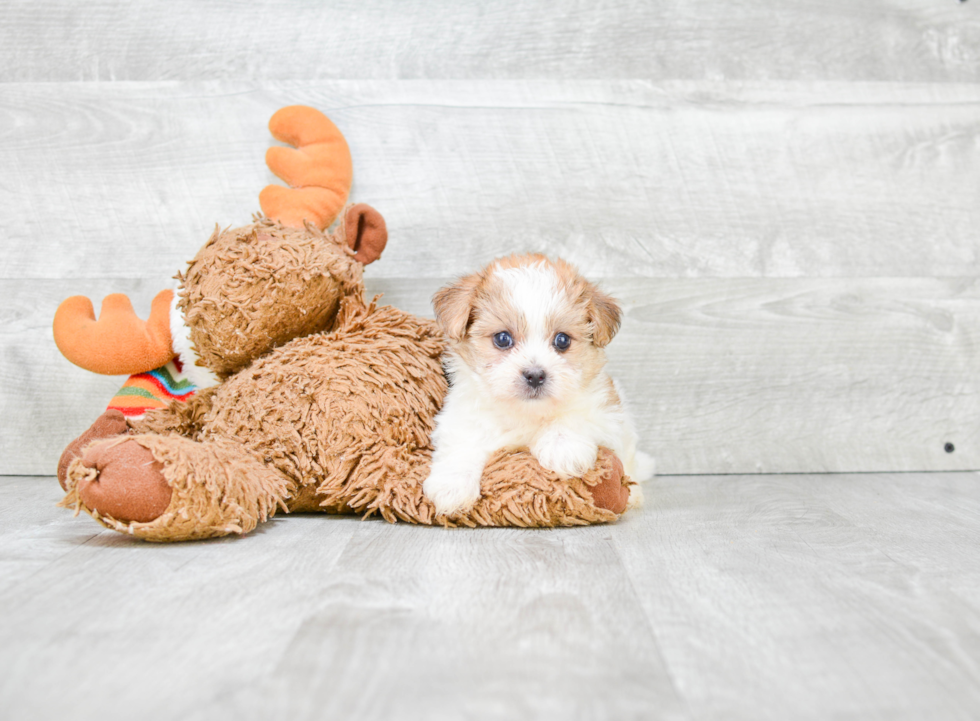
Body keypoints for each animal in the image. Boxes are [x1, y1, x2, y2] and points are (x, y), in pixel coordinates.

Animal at [424, 252, 656, 512]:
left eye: (562, 340)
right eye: (502, 339)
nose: (535, 375)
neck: (528, 413)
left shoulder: (606, 410)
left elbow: (576, 415)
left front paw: (563, 446)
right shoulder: (461, 415)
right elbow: (462, 442)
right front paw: (451, 484)